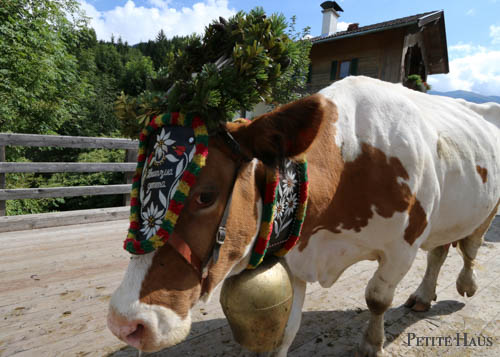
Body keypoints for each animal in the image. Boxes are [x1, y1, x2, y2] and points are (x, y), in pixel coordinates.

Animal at [106, 76, 500, 354]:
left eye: (206, 195)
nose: (125, 323)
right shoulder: (293, 251)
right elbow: (287, 326)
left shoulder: (402, 247)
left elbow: (377, 298)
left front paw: (371, 344)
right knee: (440, 250)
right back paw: (422, 295)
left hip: (488, 209)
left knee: (469, 246)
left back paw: (466, 284)